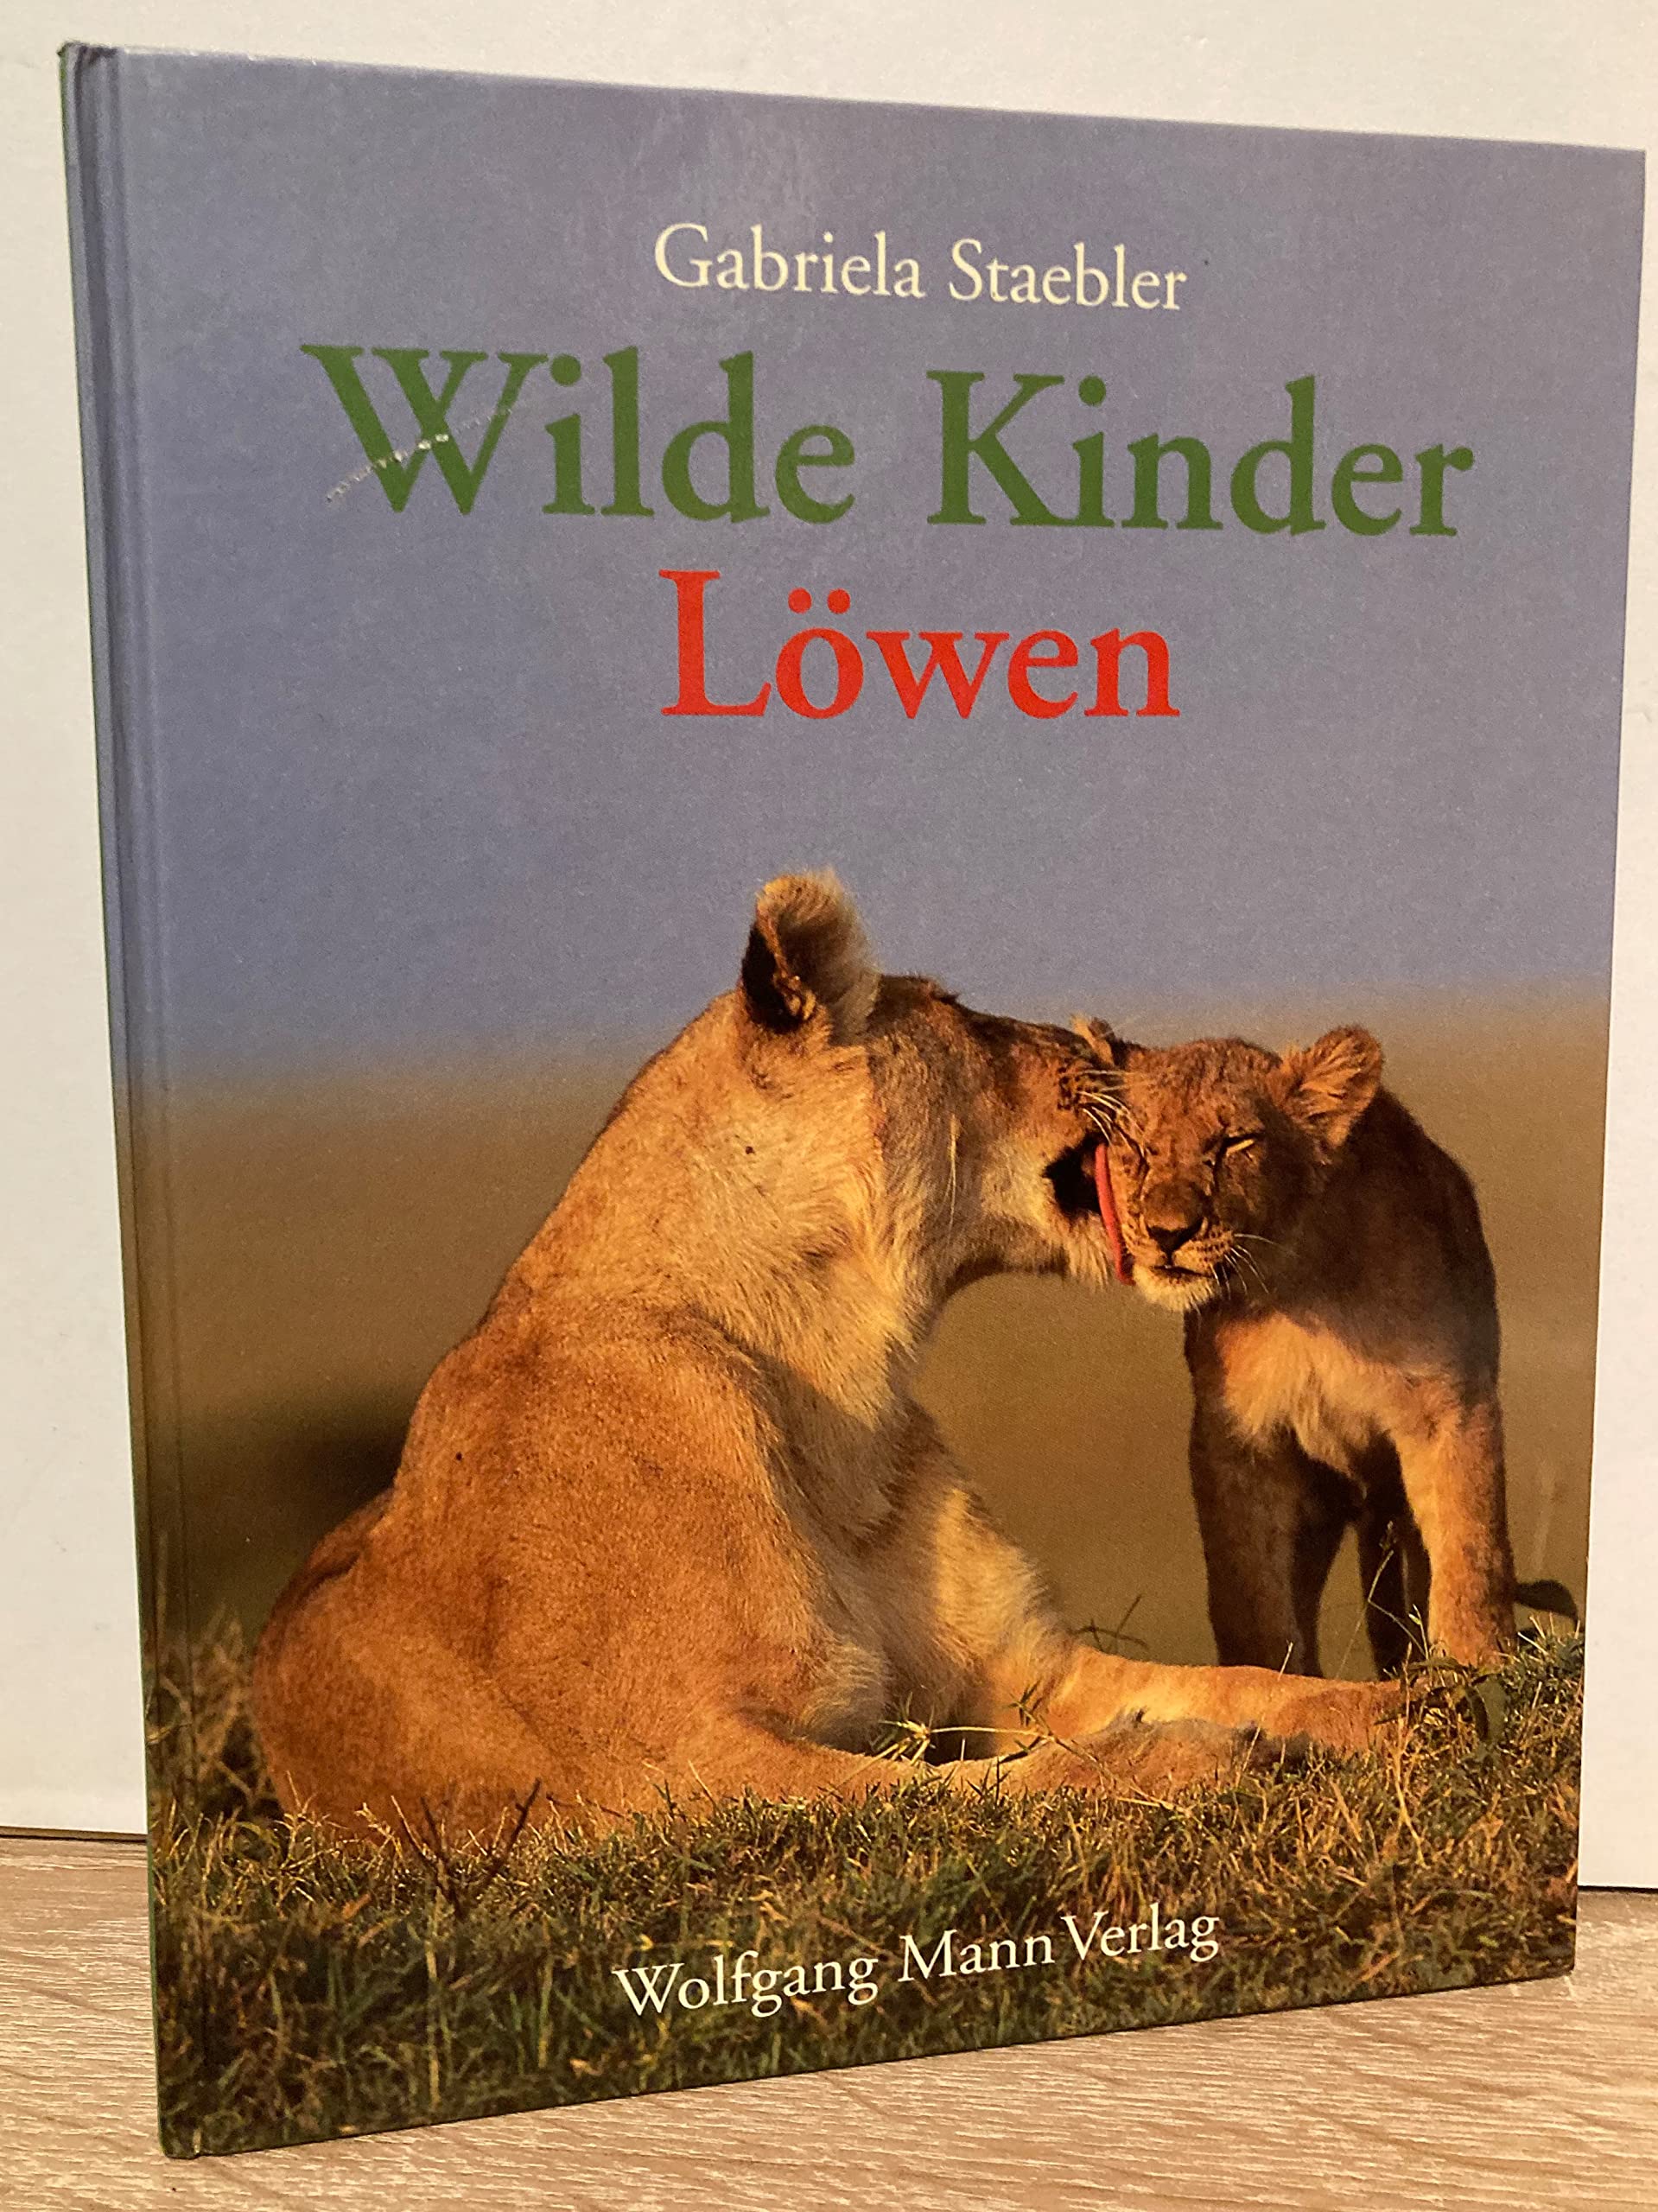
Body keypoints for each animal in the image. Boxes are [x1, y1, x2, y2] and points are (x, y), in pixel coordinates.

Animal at [253, 876, 1394, 1840]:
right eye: (960, 1010)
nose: (1120, 1049)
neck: (838, 1375)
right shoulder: (672, 1773)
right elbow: (975, 1785)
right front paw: (1183, 1761)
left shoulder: (1027, 1676)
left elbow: (1251, 1683)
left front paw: (1403, 1705)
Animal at [1078, 1020, 1517, 1675]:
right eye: (1135, 1142)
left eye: (1234, 1141)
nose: (1165, 1233)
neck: (1297, 1285)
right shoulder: (1238, 1439)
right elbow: (1249, 1589)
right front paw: (1264, 1675)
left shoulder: (1449, 1406)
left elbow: (1470, 1543)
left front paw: (1476, 1664)